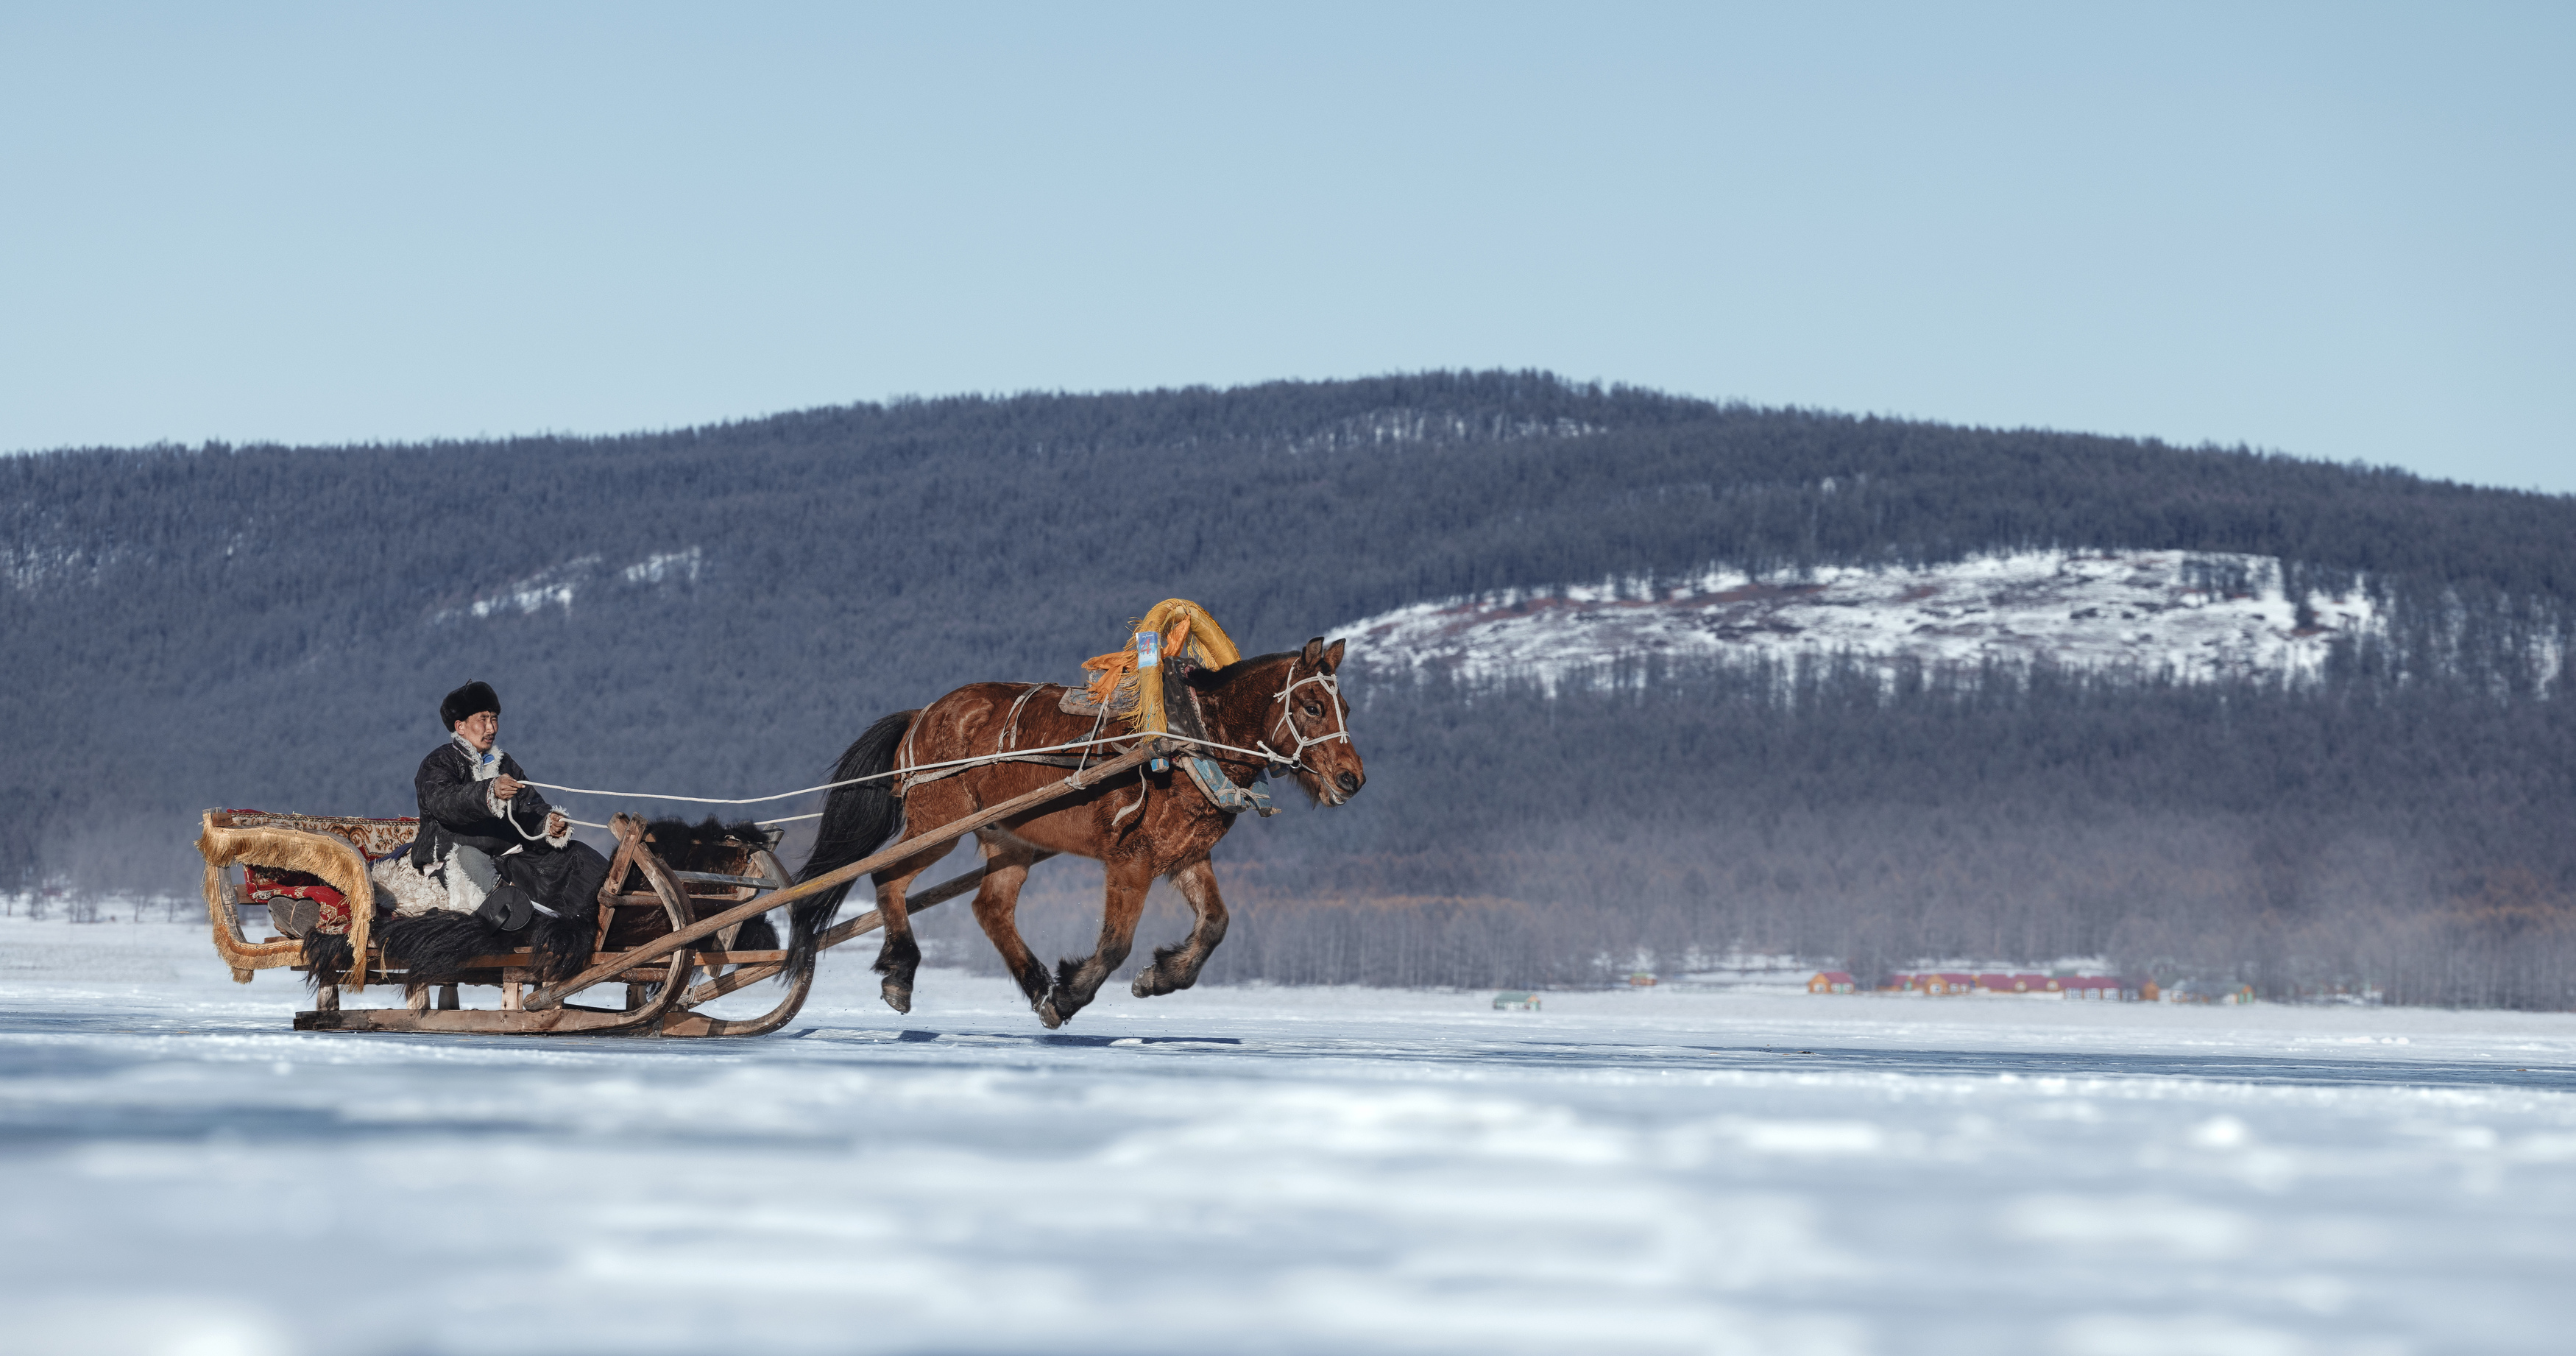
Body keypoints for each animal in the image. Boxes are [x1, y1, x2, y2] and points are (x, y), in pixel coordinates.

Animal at [791, 636, 1364, 1027]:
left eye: (1345, 707)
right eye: (1312, 706)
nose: (1351, 778)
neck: (1187, 740)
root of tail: (922, 715)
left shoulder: (1184, 854)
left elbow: (1216, 924)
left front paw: (1160, 977)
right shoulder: (1132, 857)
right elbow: (1115, 943)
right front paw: (1070, 996)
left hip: (1010, 838)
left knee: (990, 907)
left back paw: (1034, 982)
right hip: (938, 822)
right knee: (887, 878)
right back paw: (901, 972)